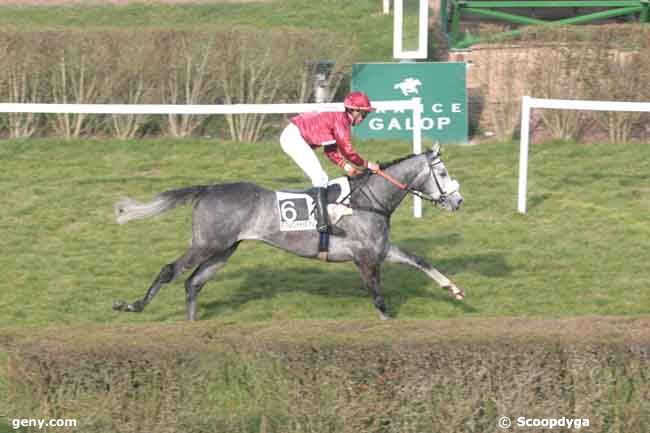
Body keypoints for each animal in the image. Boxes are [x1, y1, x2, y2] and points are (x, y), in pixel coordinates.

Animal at [114, 143, 464, 318]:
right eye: (443, 173)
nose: (458, 201)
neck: (368, 200)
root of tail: (208, 188)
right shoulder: (364, 259)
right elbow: (379, 300)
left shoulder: (380, 249)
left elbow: (420, 260)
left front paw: (455, 290)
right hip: (206, 244)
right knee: (170, 271)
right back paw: (133, 305)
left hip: (224, 250)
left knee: (192, 283)